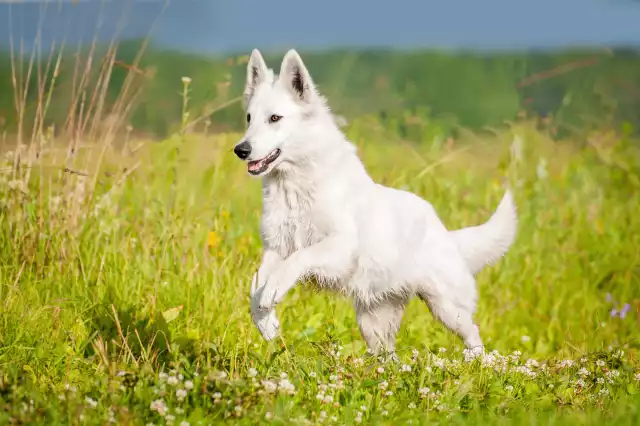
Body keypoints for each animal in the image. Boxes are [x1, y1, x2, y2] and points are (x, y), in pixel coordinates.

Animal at [235, 48, 516, 358]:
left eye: (275, 118)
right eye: (249, 118)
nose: (241, 150)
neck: (296, 184)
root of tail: (445, 232)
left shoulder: (338, 248)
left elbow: (298, 260)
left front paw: (273, 293)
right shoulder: (275, 248)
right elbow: (254, 285)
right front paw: (266, 321)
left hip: (446, 308)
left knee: (474, 334)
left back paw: (479, 362)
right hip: (373, 324)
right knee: (389, 356)